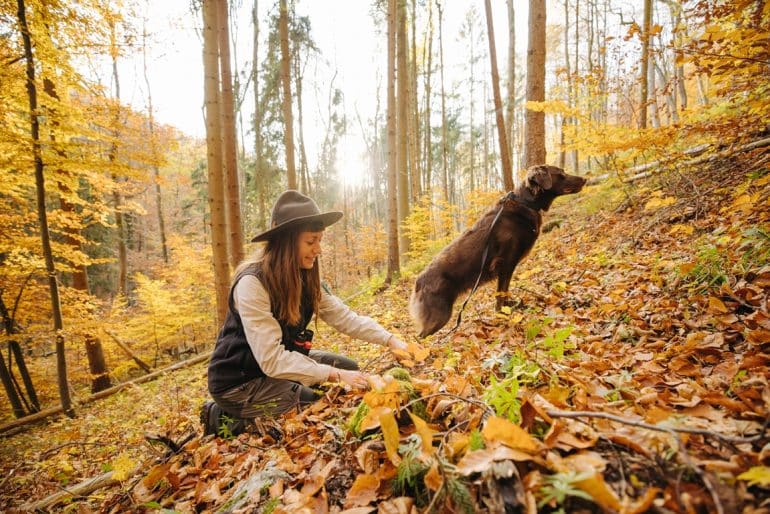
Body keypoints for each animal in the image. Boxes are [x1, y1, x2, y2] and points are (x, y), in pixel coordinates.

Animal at [408, 164, 584, 338]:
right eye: (561, 173)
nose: (585, 179)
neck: (525, 202)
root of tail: (418, 282)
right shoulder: (506, 264)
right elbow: (502, 293)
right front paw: (503, 315)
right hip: (440, 315)